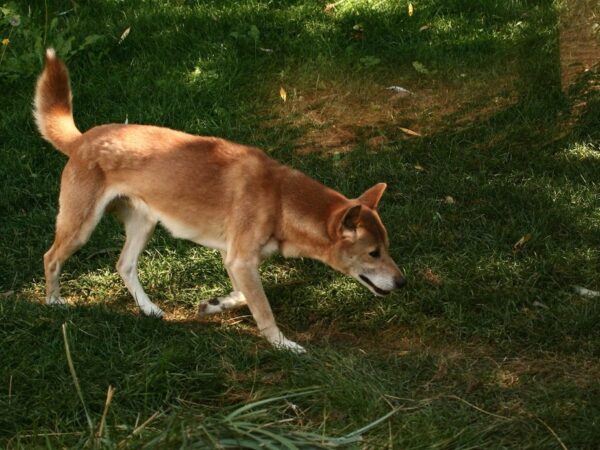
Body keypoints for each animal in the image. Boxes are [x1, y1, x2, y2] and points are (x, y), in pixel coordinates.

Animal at [35, 49, 406, 352]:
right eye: (374, 253)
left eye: (386, 247)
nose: (403, 282)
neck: (280, 199)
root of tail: (83, 139)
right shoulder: (241, 260)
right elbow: (263, 310)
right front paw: (284, 345)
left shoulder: (236, 259)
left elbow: (243, 296)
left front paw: (214, 305)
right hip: (80, 225)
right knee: (51, 257)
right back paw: (54, 302)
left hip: (144, 223)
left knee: (124, 265)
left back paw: (150, 309)